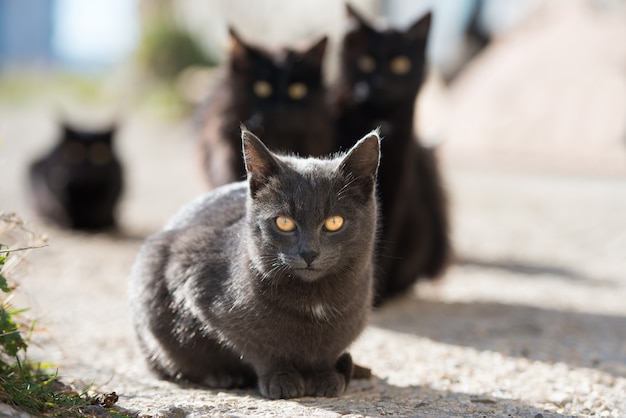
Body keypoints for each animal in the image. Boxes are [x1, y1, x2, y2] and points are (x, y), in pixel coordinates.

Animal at [129, 126, 378, 398]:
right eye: (284, 222)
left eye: (334, 222)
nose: (309, 252)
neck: (314, 302)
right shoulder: (194, 280)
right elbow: (259, 348)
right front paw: (281, 378)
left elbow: (326, 351)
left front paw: (324, 376)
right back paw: (222, 376)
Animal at [332, 4, 448, 306]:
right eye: (366, 62)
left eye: (400, 64)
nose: (380, 83)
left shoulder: (398, 180)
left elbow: (382, 236)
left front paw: (374, 296)